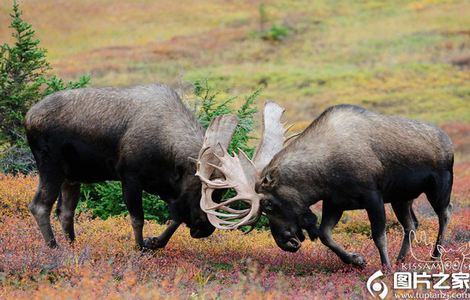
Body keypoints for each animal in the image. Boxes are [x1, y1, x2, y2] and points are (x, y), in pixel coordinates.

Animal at [24, 84, 229, 248]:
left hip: (71, 176)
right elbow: (138, 219)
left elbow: (176, 217)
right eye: (202, 189)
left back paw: (72, 246)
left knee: (65, 212)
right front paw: (140, 248)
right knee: (39, 206)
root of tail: (27, 117)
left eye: (220, 194)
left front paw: (155, 242)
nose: (205, 229)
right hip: (51, 167)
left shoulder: (167, 187)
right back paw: (53, 247)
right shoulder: (130, 177)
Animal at [197, 102, 452, 268]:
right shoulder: (335, 202)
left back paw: (434, 256)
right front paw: (356, 260)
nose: (285, 243)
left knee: (444, 214)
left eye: (268, 205)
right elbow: (324, 234)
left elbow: (378, 235)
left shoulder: (373, 195)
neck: (321, 175)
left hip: (440, 186)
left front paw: (384, 267)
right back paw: (402, 259)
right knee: (412, 224)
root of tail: (448, 141)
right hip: (402, 198)